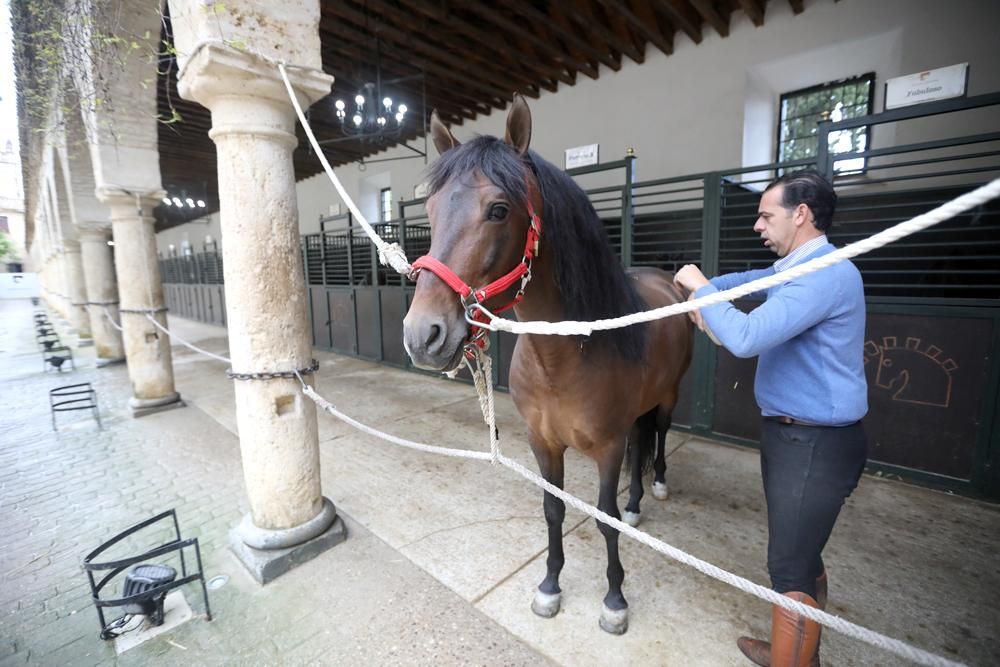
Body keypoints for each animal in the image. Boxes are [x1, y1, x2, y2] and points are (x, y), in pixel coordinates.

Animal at [402, 95, 692, 636]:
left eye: (498, 210)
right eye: (429, 211)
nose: (422, 335)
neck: (562, 359)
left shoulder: (607, 448)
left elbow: (603, 517)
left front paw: (614, 600)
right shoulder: (544, 443)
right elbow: (553, 510)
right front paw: (550, 586)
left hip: (668, 396)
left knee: (659, 434)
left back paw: (657, 487)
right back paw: (638, 505)